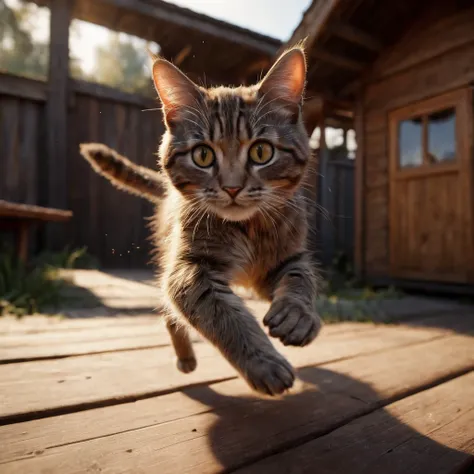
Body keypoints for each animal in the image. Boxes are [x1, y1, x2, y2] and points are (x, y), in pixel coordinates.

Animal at [80, 45, 322, 396]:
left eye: (261, 152)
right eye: (203, 155)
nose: (232, 187)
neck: (247, 229)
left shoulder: (284, 257)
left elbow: (301, 277)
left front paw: (299, 315)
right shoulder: (189, 270)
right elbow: (224, 315)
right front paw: (263, 363)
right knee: (169, 313)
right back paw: (185, 357)